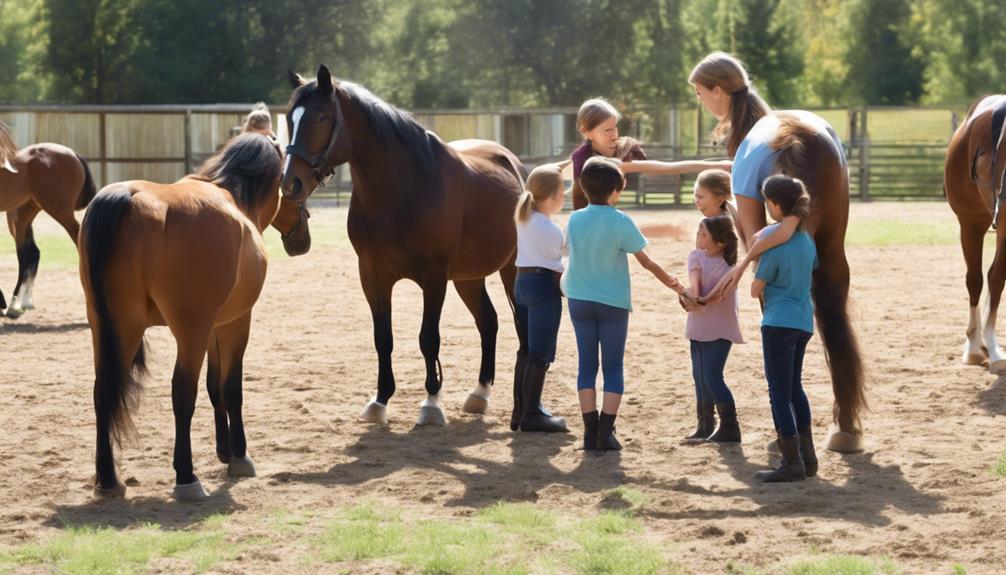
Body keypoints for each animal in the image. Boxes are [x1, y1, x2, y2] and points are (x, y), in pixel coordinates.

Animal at [80, 133, 307, 498]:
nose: (303, 234)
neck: (233, 194)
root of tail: (128, 198)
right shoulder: (234, 322)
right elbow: (230, 387)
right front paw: (239, 456)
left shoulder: (215, 325)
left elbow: (215, 387)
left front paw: (224, 450)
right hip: (186, 331)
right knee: (182, 393)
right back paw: (186, 477)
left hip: (112, 327)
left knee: (103, 391)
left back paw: (109, 480)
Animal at [277, 66, 527, 426]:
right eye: (290, 118)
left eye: (322, 117)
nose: (290, 184)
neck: (403, 188)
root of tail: (514, 163)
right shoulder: (373, 276)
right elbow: (383, 339)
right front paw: (380, 400)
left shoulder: (434, 278)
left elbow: (428, 338)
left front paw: (432, 403)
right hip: (468, 277)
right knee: (488, 322)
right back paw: (480, 394)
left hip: (513, 269)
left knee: (522, 322)